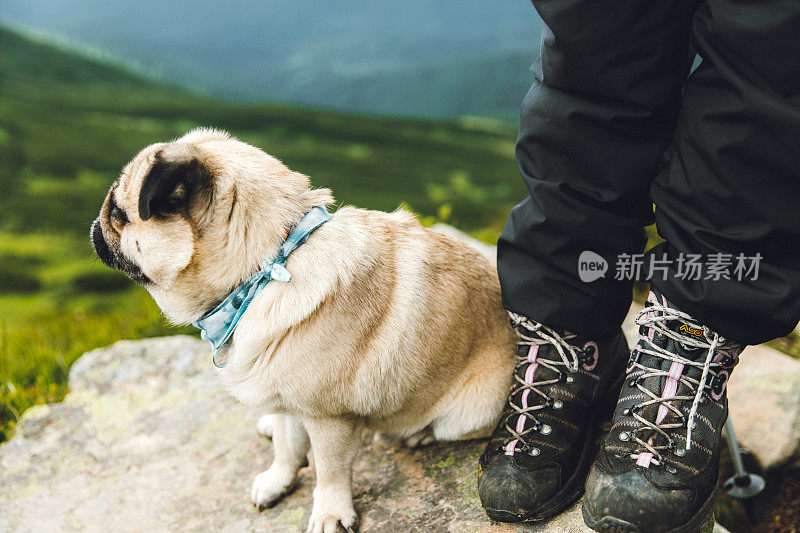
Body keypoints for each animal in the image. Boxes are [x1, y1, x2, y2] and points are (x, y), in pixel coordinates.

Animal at [90, 129, 516, 532]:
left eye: (118, 212)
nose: (95, 224)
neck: (266, 266)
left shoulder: (329, 417)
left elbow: (329, 471)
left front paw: (330, 513)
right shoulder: (278, 380)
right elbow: (285, 445)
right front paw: (278, 480)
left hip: (468, 411)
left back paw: (416, 433)